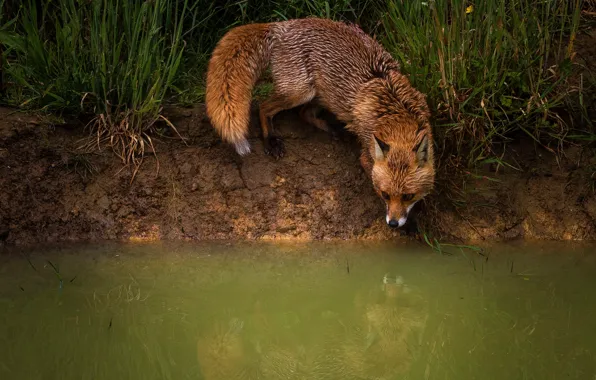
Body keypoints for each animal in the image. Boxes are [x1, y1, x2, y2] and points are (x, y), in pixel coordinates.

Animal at [205, 17, 434, 229]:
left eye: (408, 195)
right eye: (385, 194)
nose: (393, 223)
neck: (395, 113)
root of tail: (281, 24)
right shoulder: (366, 156)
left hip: (319, 94)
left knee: (303, 113)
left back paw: (333, 129)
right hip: (300, 91)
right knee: (263, 106)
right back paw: (271, 140)